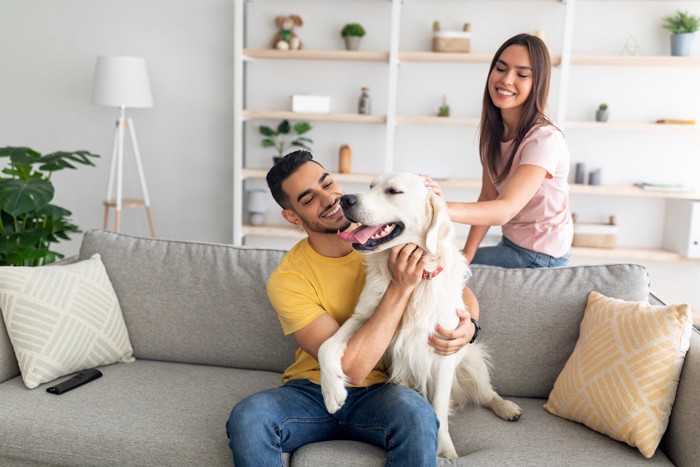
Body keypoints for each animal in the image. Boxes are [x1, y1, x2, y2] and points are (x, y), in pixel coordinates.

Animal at [318, 173, 520, 460]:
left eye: (393, 191)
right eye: (371, 186)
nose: (345, 199)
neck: (416, 282)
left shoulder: (445, 348)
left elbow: (439, 407)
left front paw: (445, 450)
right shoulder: (363, 316)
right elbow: (326, 346)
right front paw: (332, 391)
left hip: (471, 360)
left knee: (486, 393)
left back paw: (506, 407)